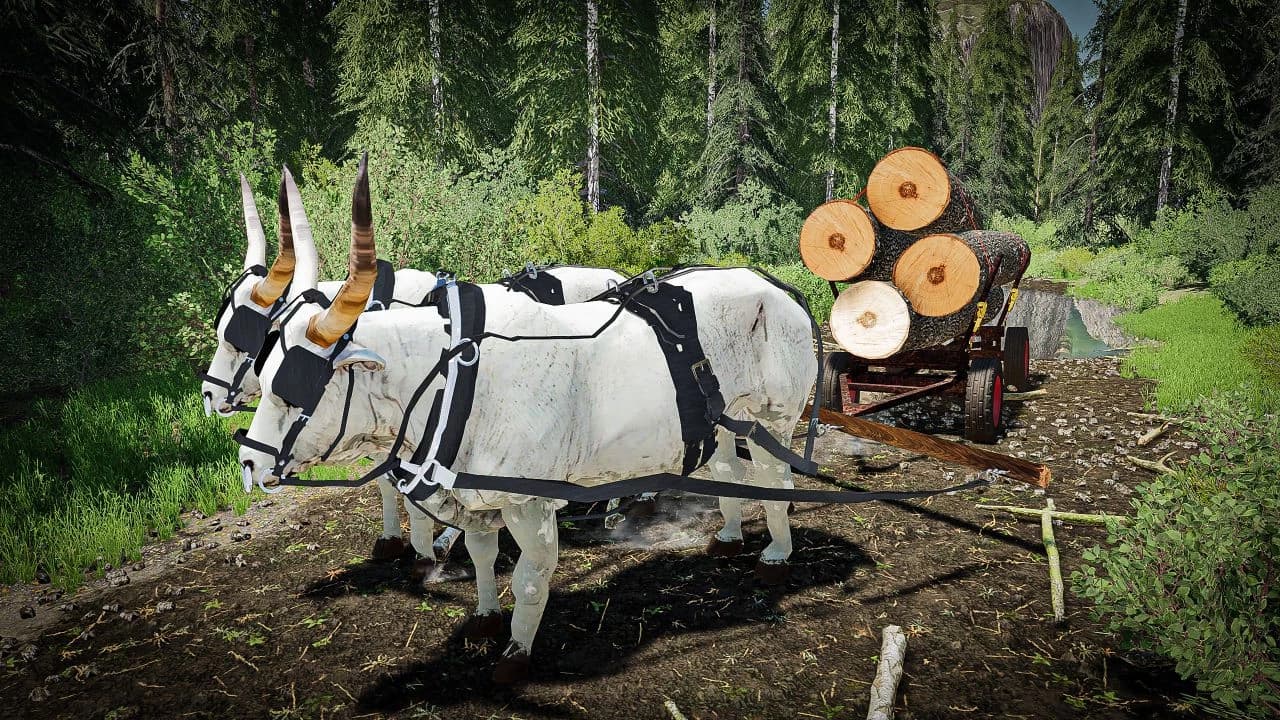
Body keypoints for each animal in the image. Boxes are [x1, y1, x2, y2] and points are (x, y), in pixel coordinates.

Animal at [201, 168, 621, 577]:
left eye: (244, 340)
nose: (209, 394)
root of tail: (614, 275)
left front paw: (426, 547)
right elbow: (389, 485)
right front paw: (397, 540)